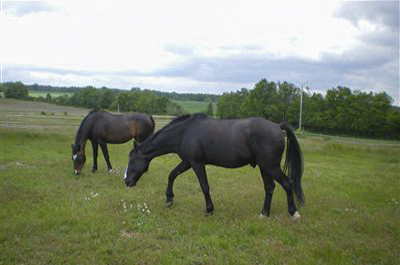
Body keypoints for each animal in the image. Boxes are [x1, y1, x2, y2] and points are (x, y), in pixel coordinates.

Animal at [125, 112, 304, 218]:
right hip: (264, 167)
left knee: (287, 183)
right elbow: (172, 174)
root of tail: (277, 126)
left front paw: (209, 209)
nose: (126, 181)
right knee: (270, 187)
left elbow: (204, 186)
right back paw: (264, 213)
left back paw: (293, 212)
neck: (185, 132)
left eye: (132, 160)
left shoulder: (197, 163)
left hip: (270, 166)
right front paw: (169, 199)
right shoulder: (187, 162)